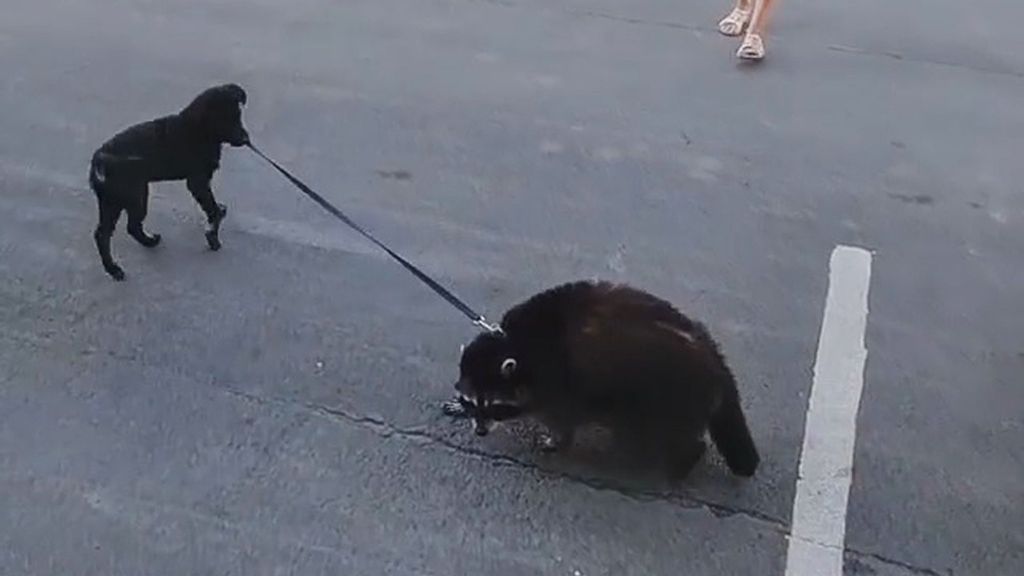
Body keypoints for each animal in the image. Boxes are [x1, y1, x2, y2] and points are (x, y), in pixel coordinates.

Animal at [91, 82, 252, 278]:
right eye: (224, 119)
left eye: (238, 116)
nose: (245, 139)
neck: (199, 129)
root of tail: (100, 158)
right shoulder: (198, 181)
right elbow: (211, 207)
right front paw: (213, 233)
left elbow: (212, 206)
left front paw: (217, 216)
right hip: (133, 197)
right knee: (123, 229)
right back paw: (116, 268)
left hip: (113, 200)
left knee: (110, 231)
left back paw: (140, 248)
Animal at [442, 278, 761, 475]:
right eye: (473, 402)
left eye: (494, 406)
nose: (480, 432)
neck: (514, 343)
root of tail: (714, 358)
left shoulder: (559, 381)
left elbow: (562, 419)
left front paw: (556, 440)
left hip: (667, 395)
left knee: (670, 434)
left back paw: (682, 461)